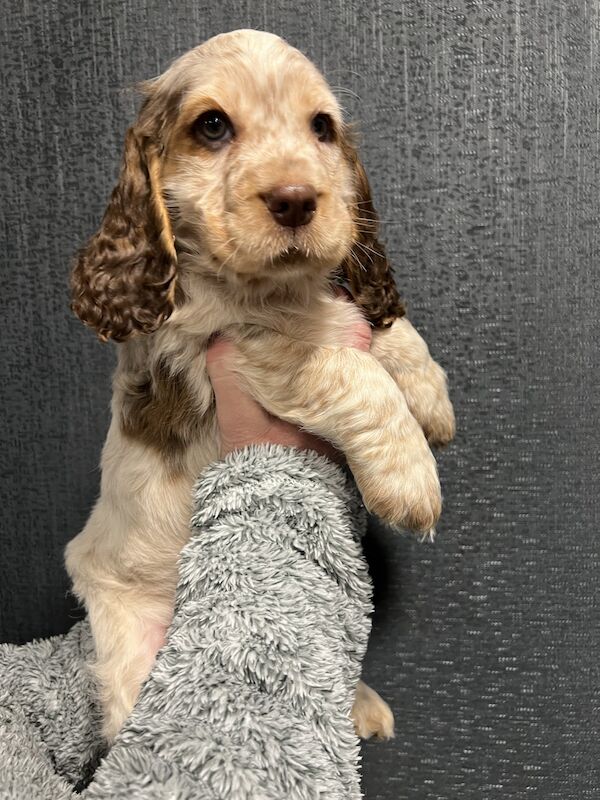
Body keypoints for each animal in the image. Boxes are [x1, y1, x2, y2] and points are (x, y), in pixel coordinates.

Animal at [65, 29, 454, 744]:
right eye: (212, 126)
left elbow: (380, 328)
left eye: (322, 127)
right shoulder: (236, 347)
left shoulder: (339, 306)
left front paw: (430, 398)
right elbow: (350, 369)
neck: (279, 292)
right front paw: (411, 478)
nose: (297, 198)